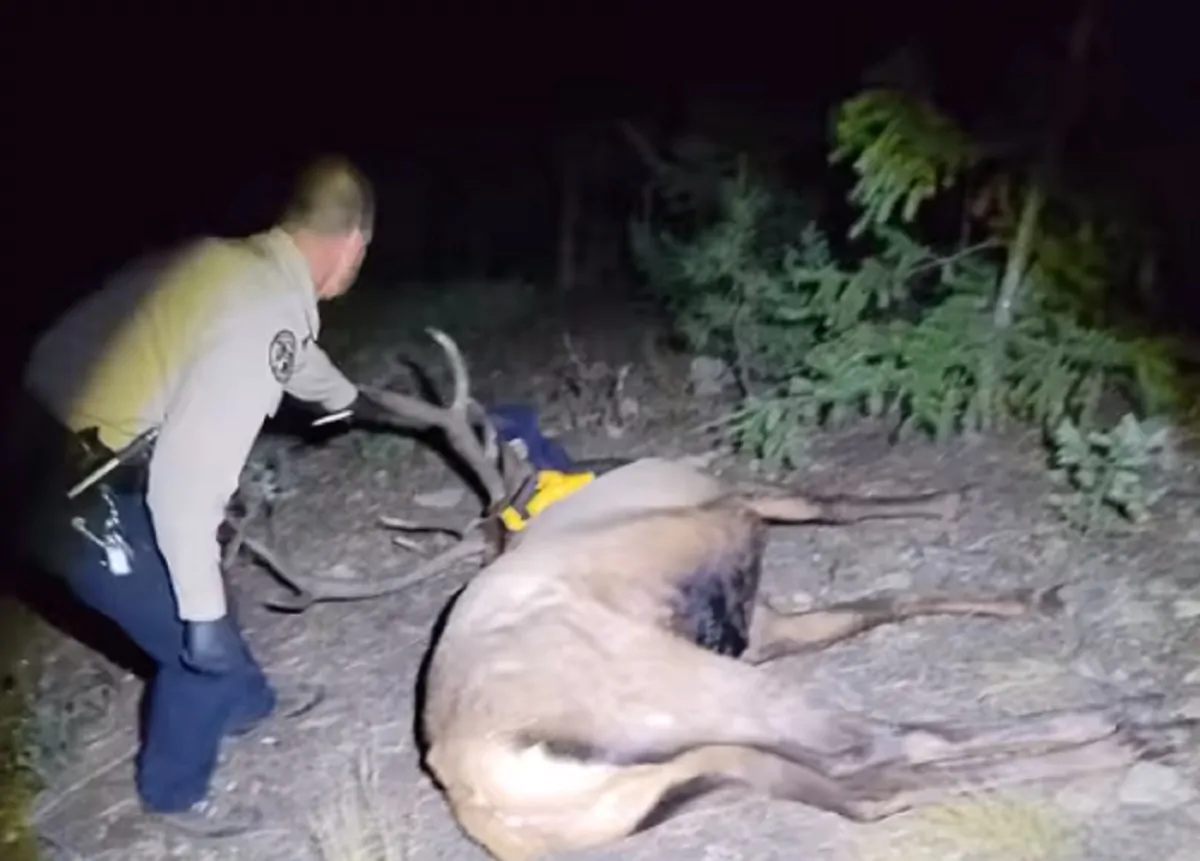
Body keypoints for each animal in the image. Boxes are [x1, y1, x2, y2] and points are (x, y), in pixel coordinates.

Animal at [241, 328, 1190, 861]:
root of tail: (485, 792)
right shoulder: (728, 513)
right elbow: (824, 502)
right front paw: (958, 513)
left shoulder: (757, 620)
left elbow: (877, 600)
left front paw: (1019, 592)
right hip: (691, 688)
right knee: (885, 738)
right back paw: (1133, 726)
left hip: (685, 766)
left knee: (864, 783)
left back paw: (1133, 730)